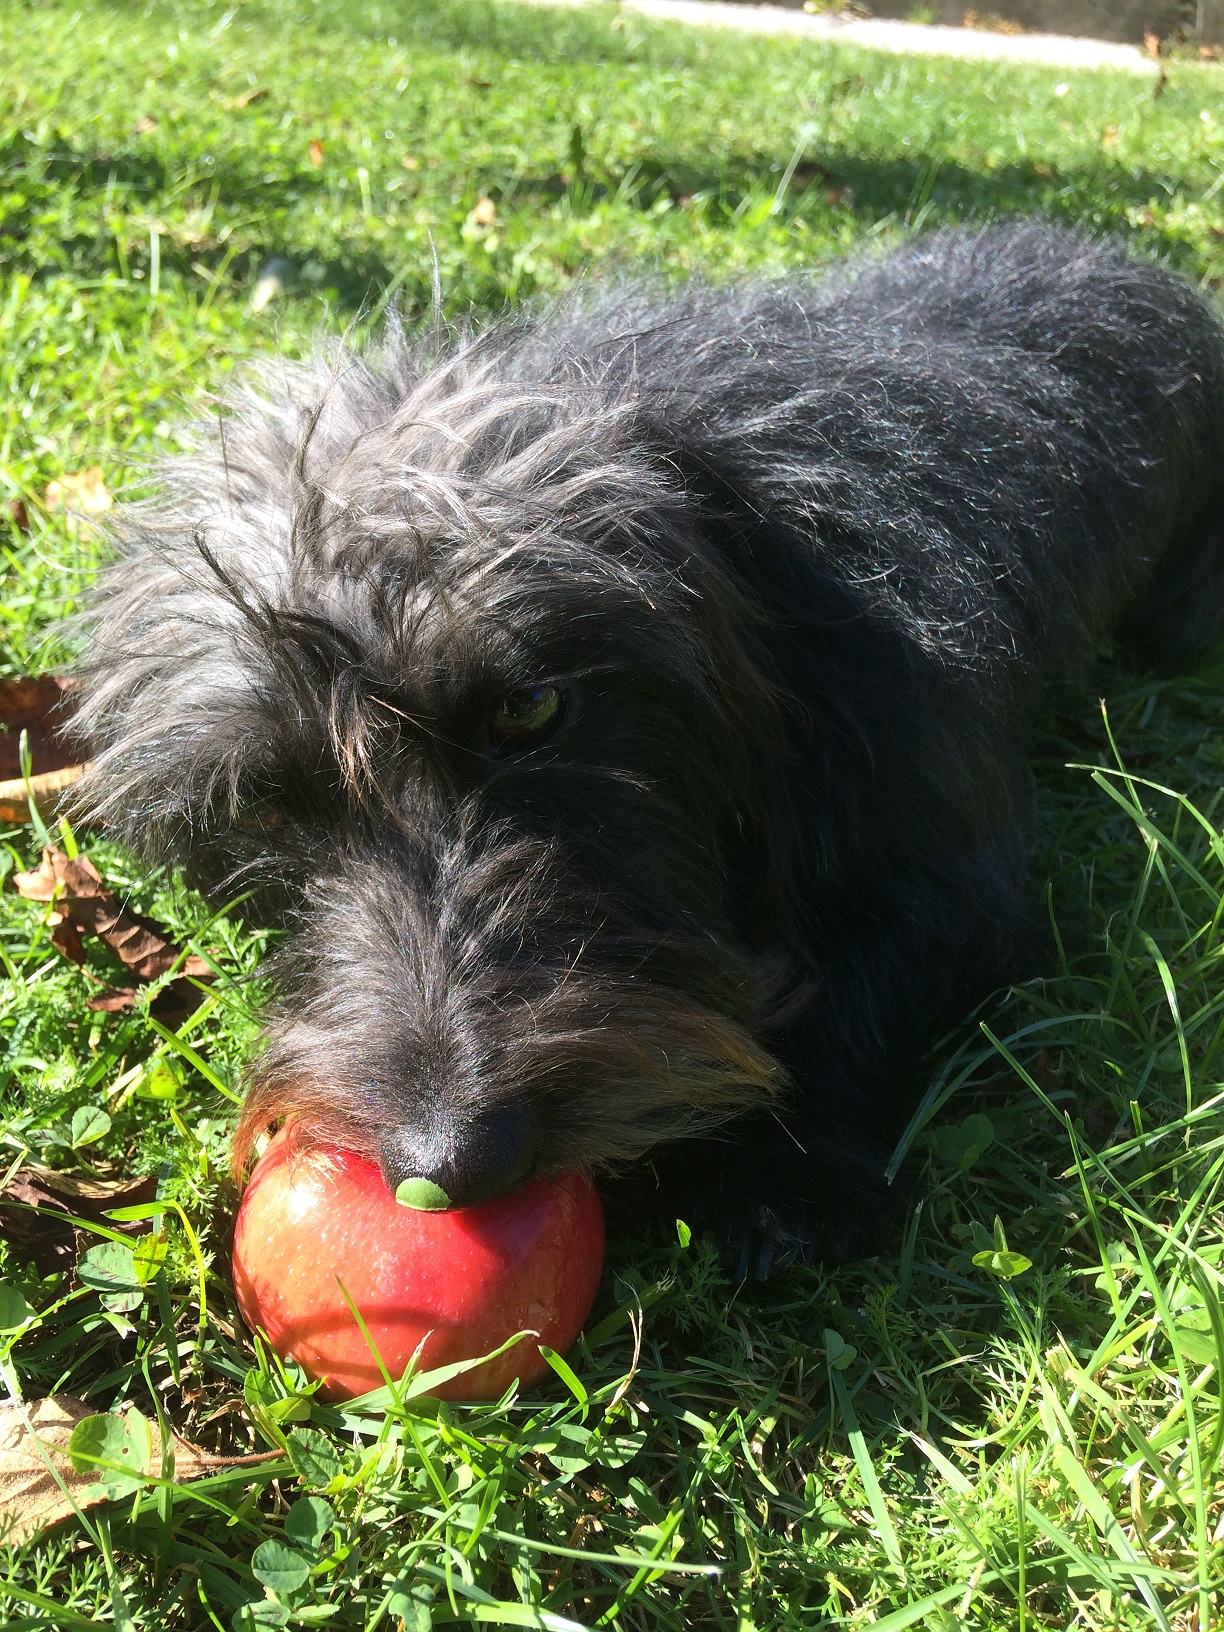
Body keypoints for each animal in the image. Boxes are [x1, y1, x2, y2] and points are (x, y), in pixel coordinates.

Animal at [69, 223, 1224, 1279]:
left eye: (533, 707)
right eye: (262, 806)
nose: (452, 1159)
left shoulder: (948, 851)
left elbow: (870, 978)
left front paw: (780, 1173)